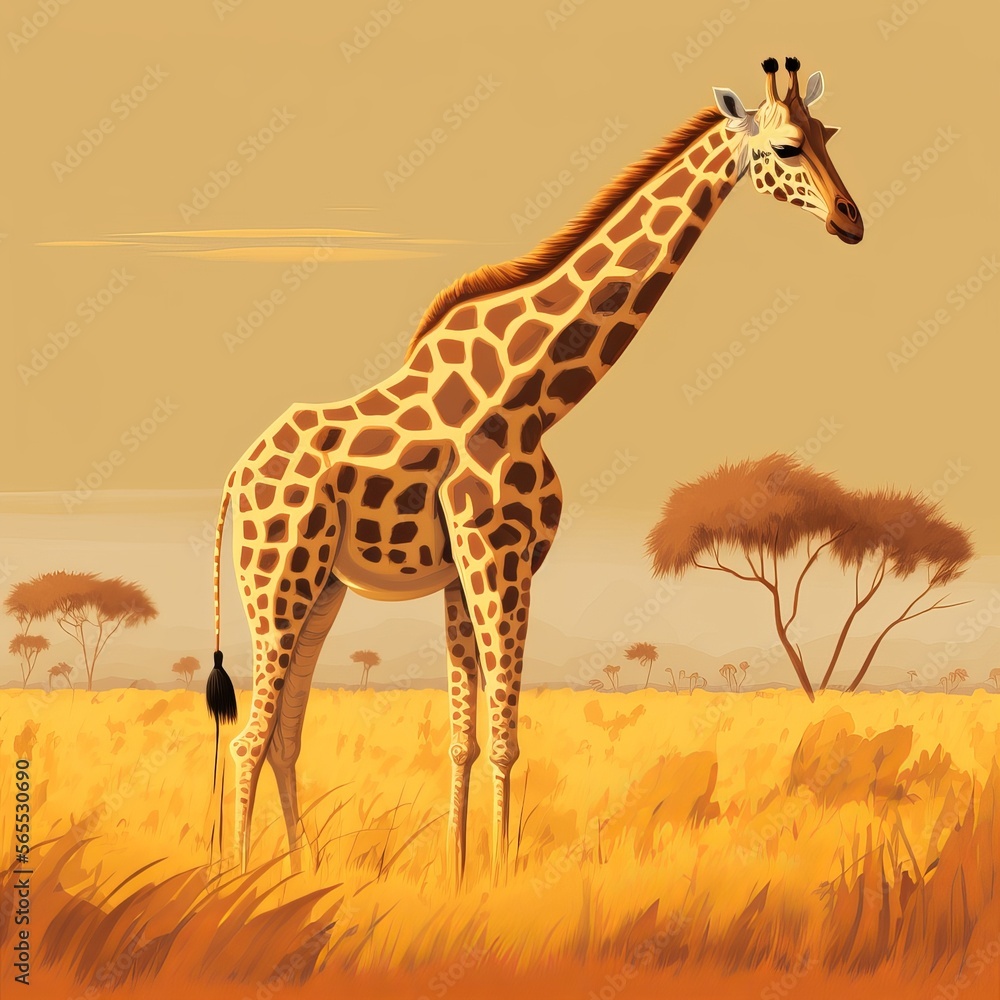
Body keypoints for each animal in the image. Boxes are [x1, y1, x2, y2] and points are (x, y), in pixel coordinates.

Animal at [207, 57, 863, 884]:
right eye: (784, 148)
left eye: (829, 133)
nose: (851, 219)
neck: (533, 388)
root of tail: (236, 475)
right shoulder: (500, 558)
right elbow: (506, 737)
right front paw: (499, 874)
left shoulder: (464, 574)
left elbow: (465, 738)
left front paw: (460, 875)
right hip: (277, 578)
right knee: (249, 737)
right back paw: (240, 878)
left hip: (321, 587)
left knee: (286, 732)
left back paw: (300, 871)